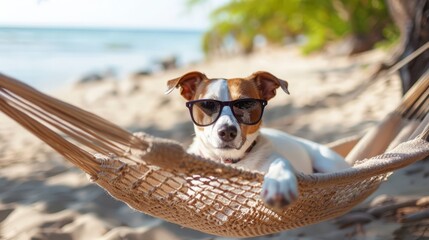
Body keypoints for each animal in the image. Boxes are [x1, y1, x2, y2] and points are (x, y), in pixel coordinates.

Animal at [164, 71, 348, 208]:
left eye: (246, 104)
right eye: (207, 104)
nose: (227, 131)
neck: (231, 163)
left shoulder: (274, 159)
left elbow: (280, 163)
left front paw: (279, 182)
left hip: (329, 163)